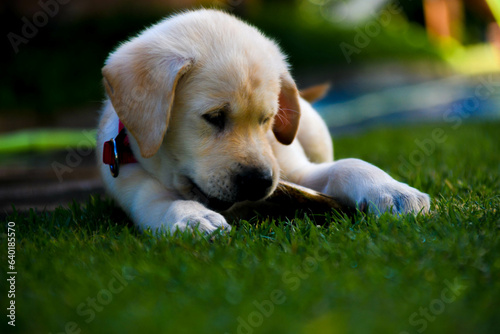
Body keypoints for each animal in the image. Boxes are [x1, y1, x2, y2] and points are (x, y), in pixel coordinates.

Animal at [96, 9, 430, 234]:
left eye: (268, 120)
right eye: (214, 117)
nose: (260, 182)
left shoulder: (297, 171)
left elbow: (350, 165)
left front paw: (393, 191)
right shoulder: (131, 182)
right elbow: (158, 203)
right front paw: (192, 217)